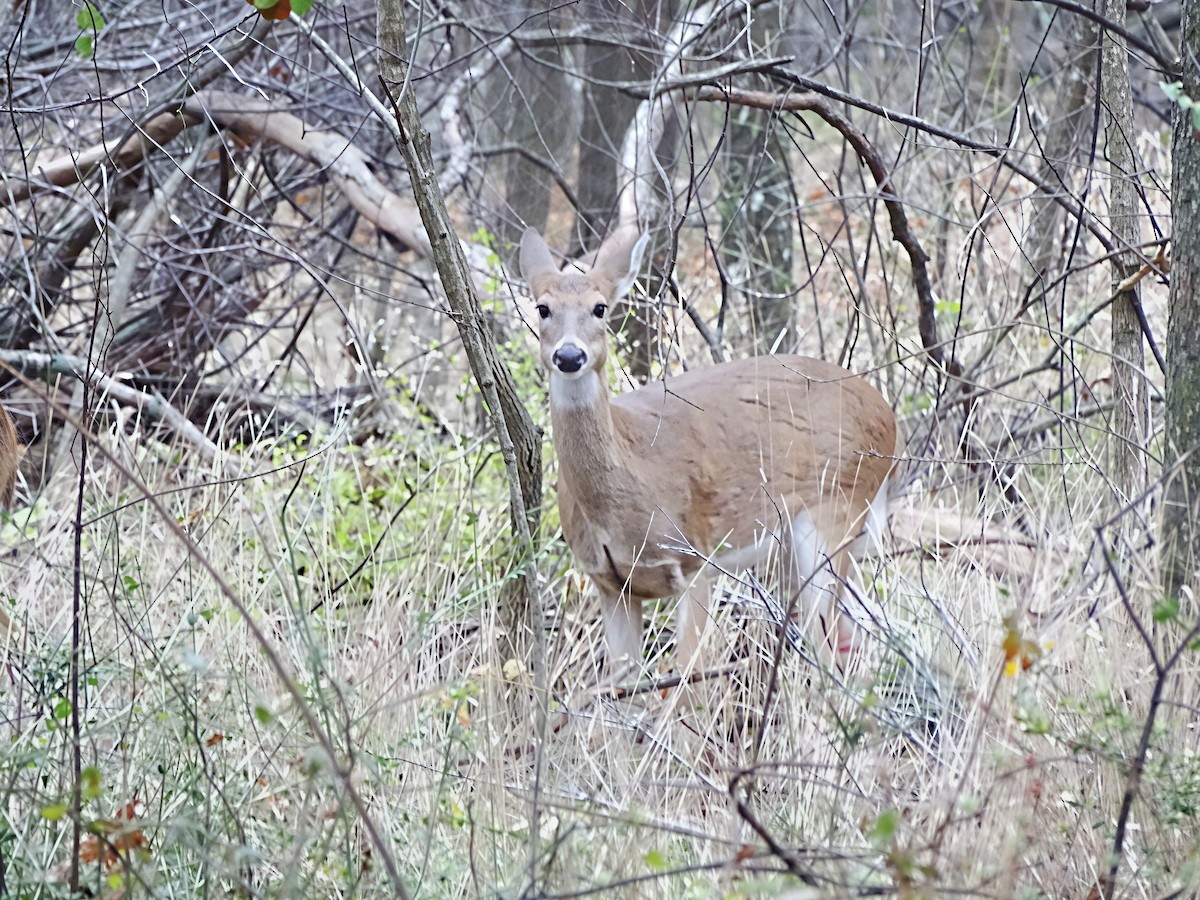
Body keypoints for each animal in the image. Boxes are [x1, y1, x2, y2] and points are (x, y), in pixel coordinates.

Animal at [520, 226, 897, 677]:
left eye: (600, 308)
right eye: (542, 308)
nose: (569, 355)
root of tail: (886, 413)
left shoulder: (694, 560)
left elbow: (690, 681)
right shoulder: (610, 584)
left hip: (834, 510)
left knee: (828, 645)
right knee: (854, 634)